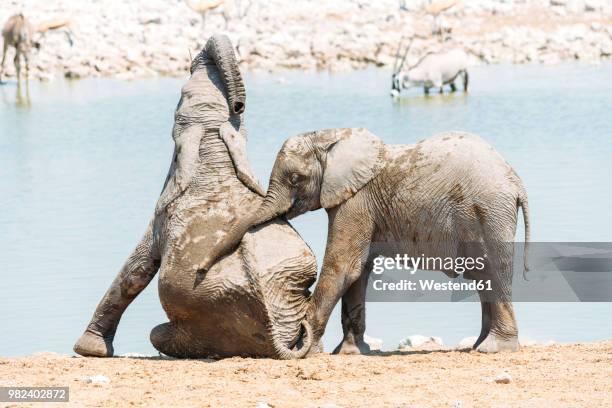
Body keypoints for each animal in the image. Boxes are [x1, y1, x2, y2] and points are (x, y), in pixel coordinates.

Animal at [72, 35, 318, 360]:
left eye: (181, 94)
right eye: (238, 111)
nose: (239, 102)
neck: (212, 145)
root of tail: (277, 343)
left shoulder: (162, 216)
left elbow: (137, 267)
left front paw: (88, 350)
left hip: (212, 326)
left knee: (156, 334)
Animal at [197, 129, 532, 356]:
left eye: (295, 179)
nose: (200, 271)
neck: (331, 137)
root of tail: (515, 181)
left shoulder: (355, 201)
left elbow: (342, 267)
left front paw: (308, 349)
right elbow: (358, 272)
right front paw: (349, 352)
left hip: (487, 210)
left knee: (492, 272)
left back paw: (494, 349)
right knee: (483, 277)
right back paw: (478, 345)